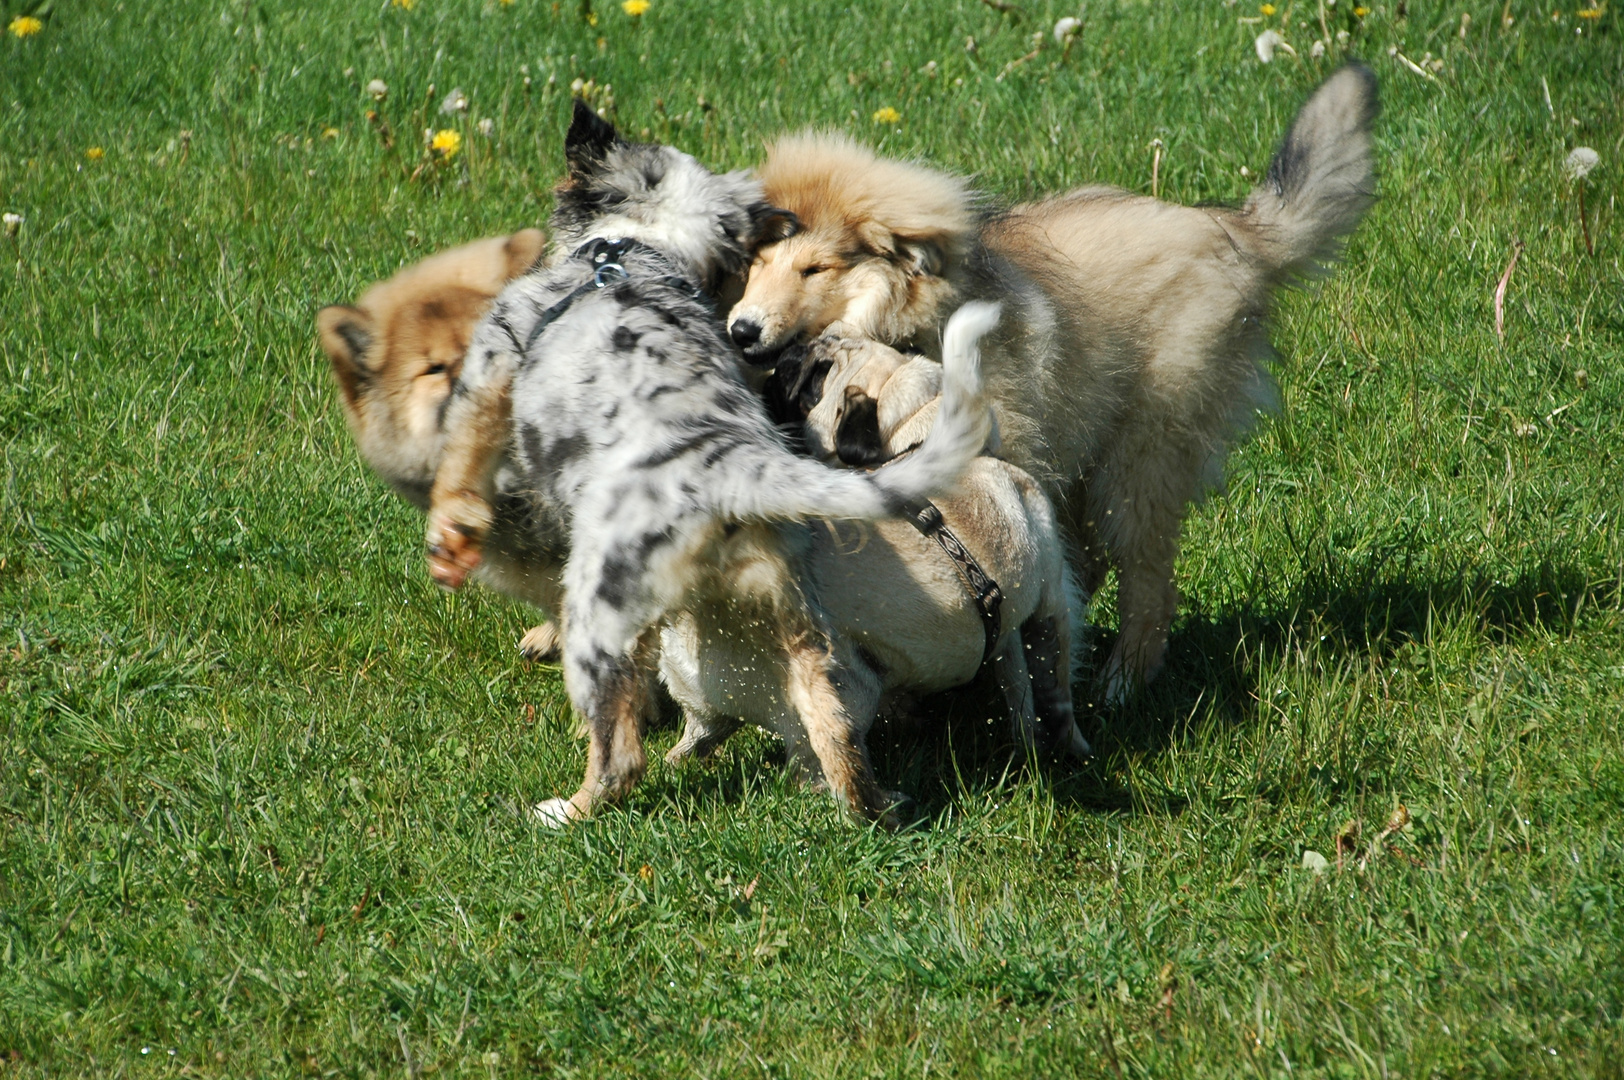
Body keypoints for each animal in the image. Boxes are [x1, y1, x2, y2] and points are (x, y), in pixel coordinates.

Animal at [425, 103, 993, 825]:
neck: (632, 252)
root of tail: (734, 469)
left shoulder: (489, 368)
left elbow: (459, 468)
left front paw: (448, 539)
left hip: (604, 615)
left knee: (620, 755)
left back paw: (565, 811)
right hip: (795, 620)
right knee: (831, 722)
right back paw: (870, 808)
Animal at [730, 65, 1377, 698]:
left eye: (815, 269)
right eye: (755, 265)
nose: (740, 329)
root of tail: (1238, 230)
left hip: (1142, 457)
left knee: (1145, 580)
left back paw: (1119, 685)